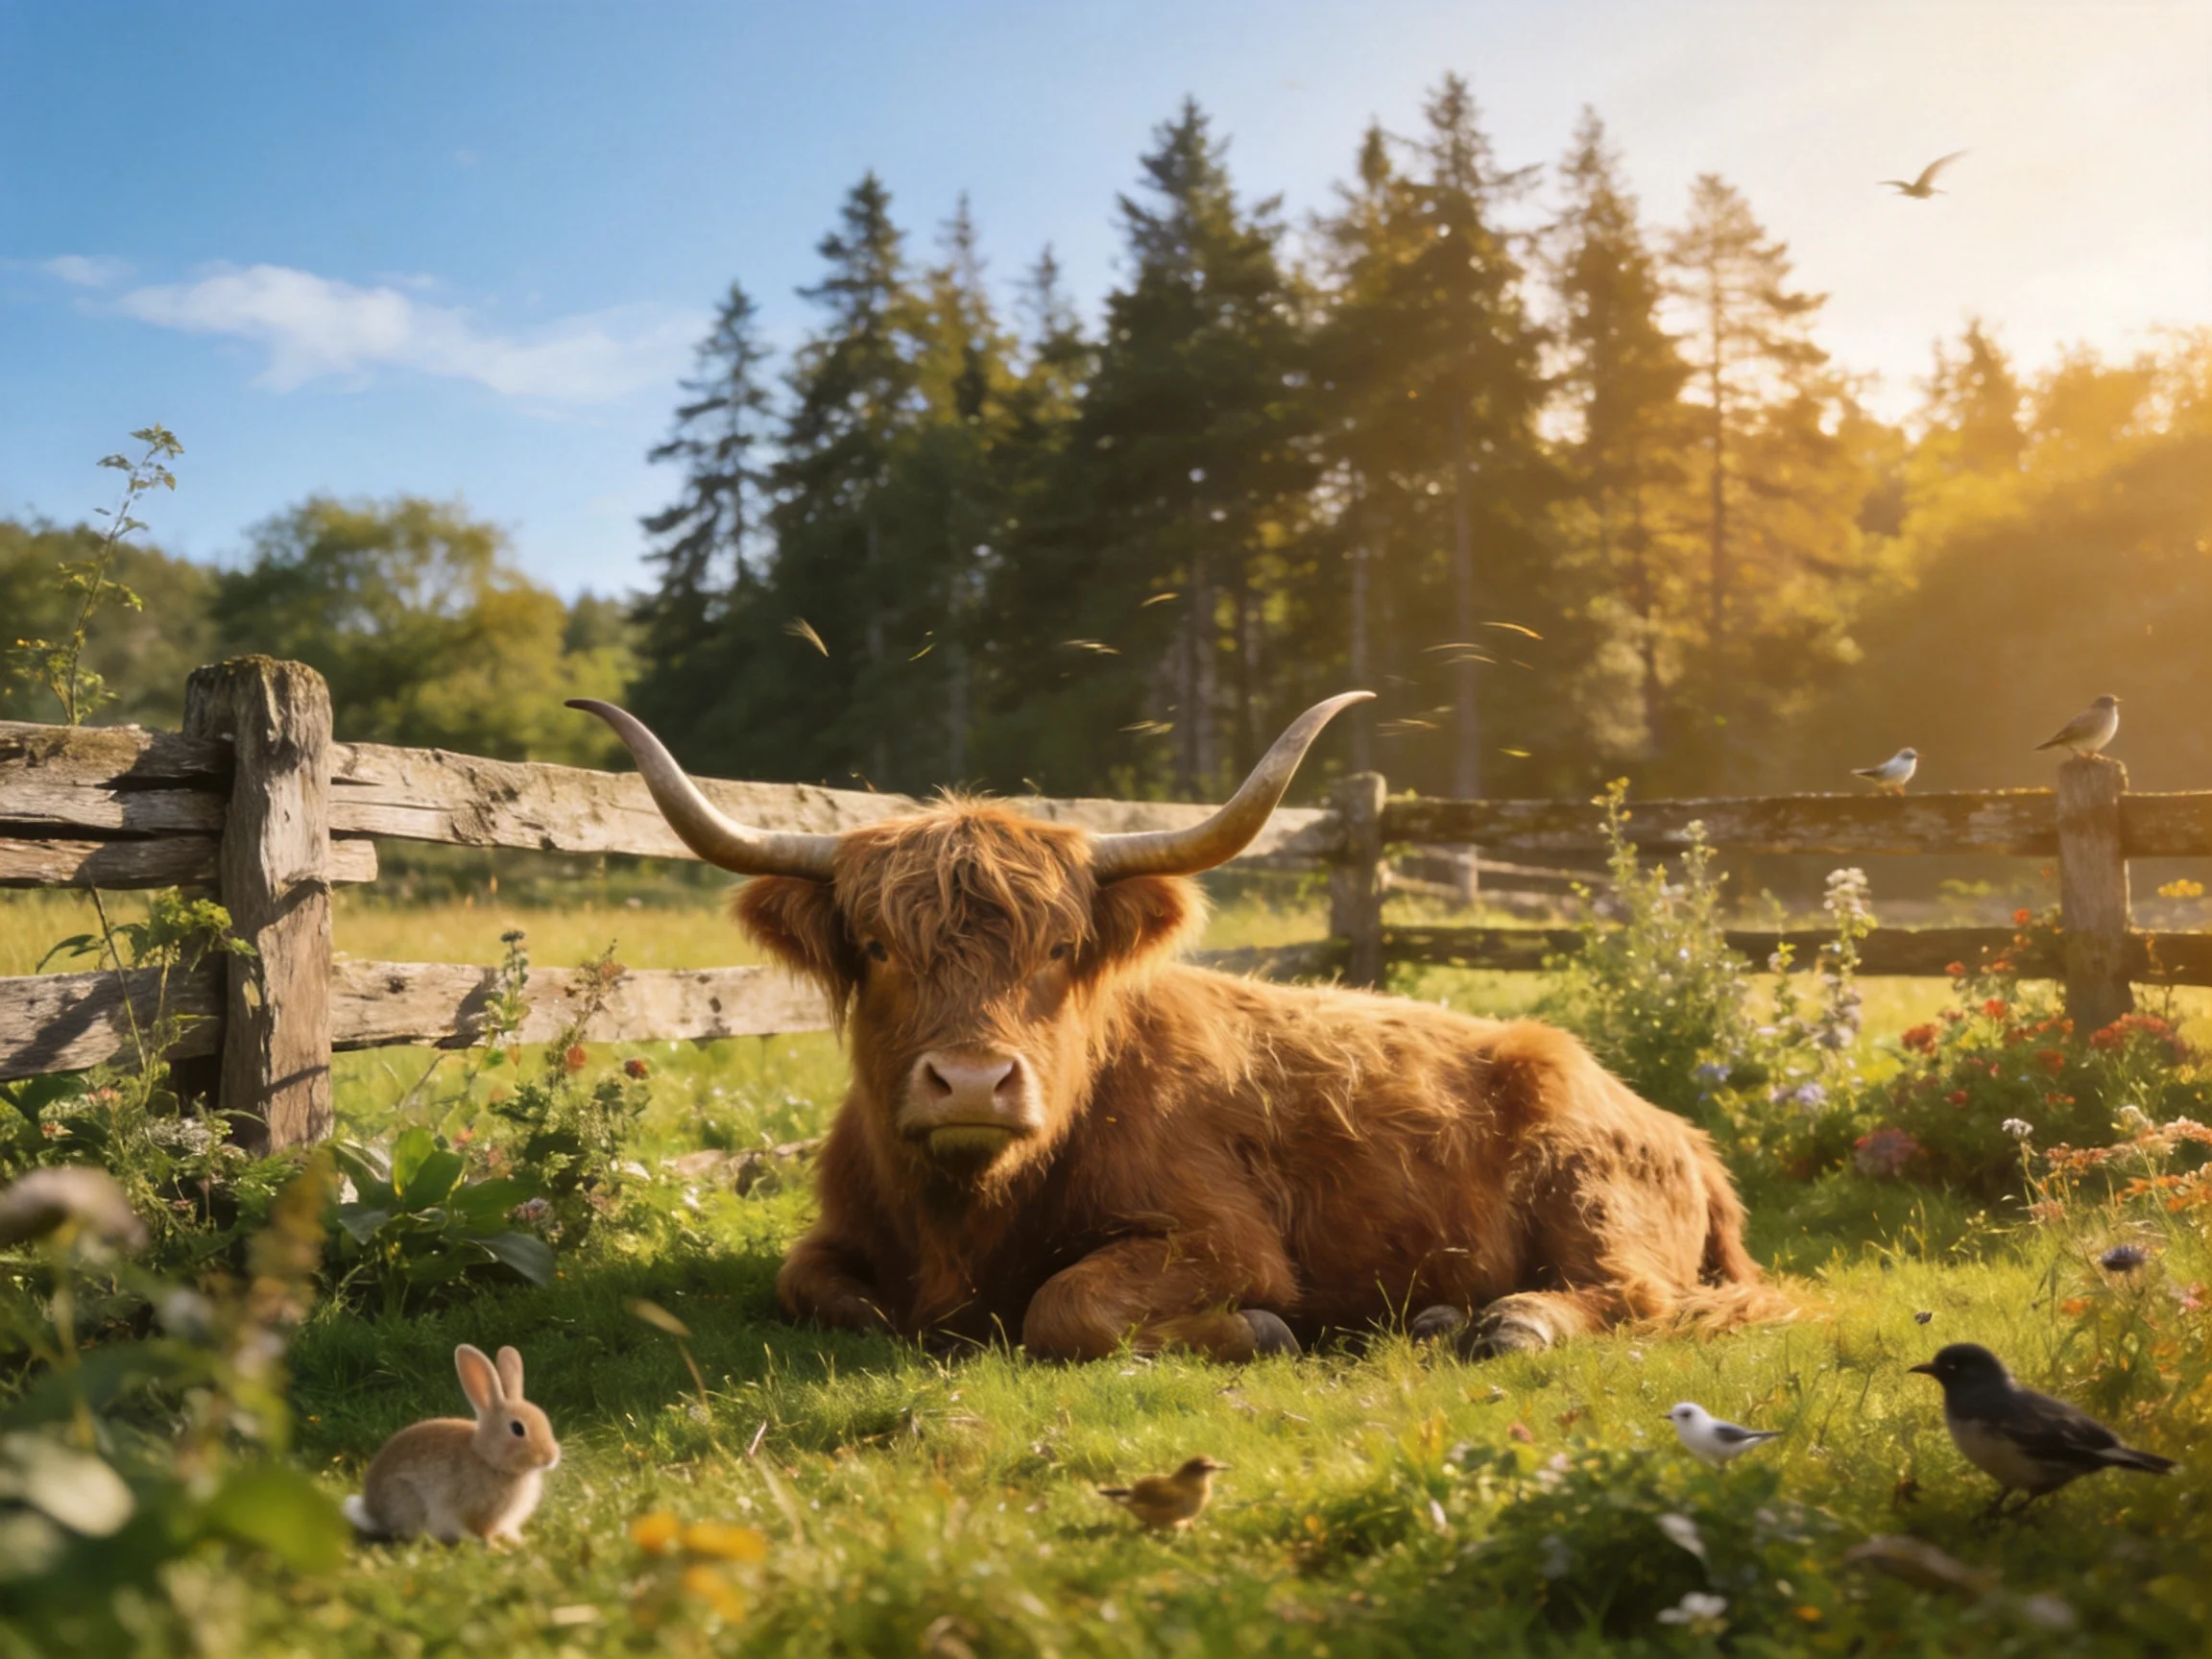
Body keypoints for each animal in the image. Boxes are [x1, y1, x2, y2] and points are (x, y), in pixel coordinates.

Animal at [570, 694, 1792, 1362]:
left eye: (1061, 948)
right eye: (874, 946)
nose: (970, 1084)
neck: (969, 1217)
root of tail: (1676, 1127)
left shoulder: (1224, 1239)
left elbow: (1065, 1304)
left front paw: (1260, 1334)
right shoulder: (839, 1239)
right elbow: (816, 1288)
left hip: (1594, 1195)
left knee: (1639, 1292)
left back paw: (1508, 1322)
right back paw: (1447, 1319)